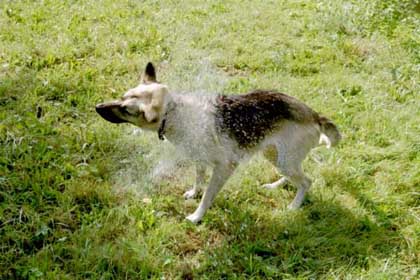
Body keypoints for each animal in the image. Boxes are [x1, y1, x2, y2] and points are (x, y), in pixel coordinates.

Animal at [96, 61, 342, 223]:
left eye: (125, 110)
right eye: (122, 97)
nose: (97, 107)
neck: (174, 113)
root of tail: (314, 115)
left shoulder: (224, 167)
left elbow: (208, 195)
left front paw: (197, 216)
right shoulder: (199, 158)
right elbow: (199, 178)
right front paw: (193, 193)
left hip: (285, 159)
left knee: (306, 182)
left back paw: (293, 206)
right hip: (276, 154)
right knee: (296, 175)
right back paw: (275, 186)